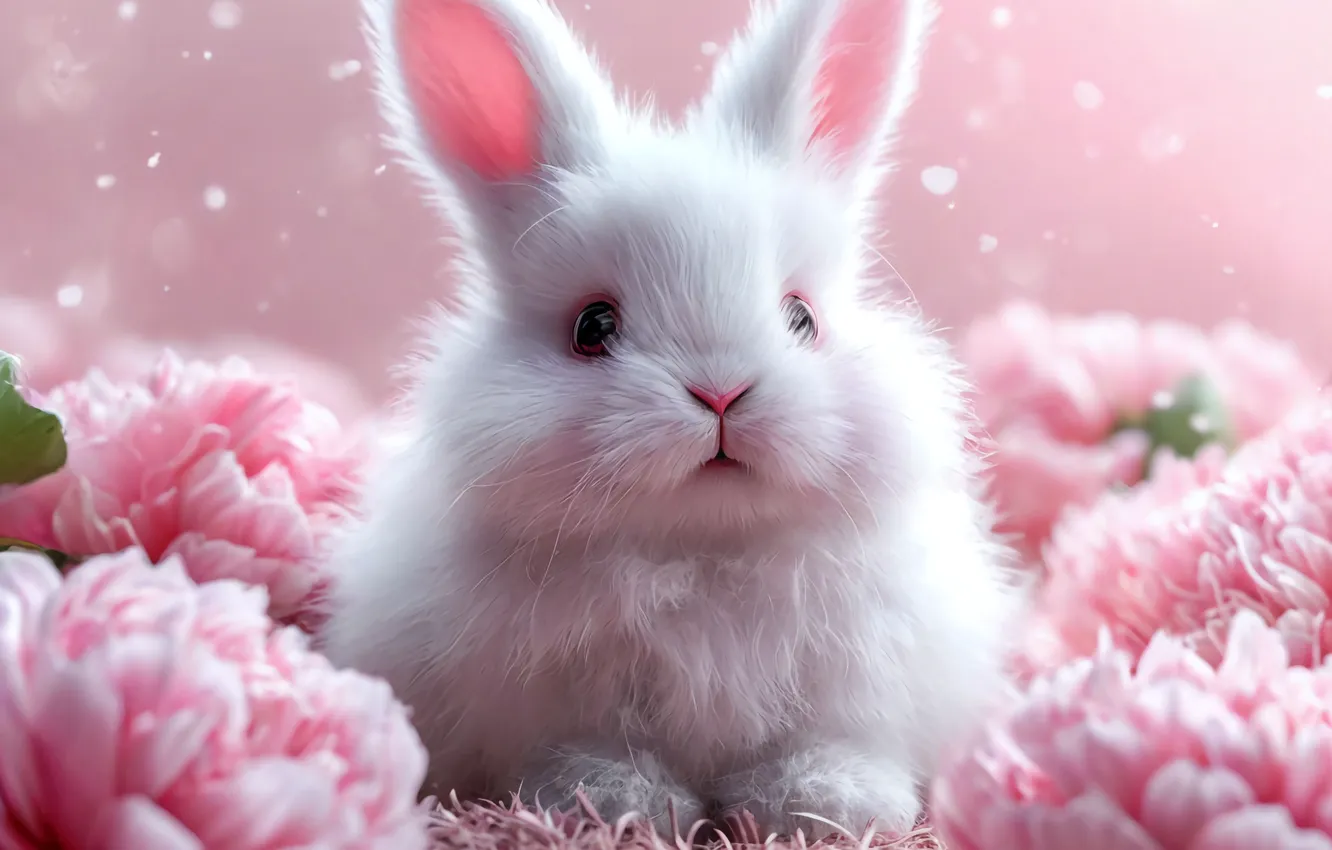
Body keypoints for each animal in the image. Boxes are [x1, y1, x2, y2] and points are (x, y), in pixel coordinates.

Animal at [319, 0, 1023, 839]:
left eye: (802, 319)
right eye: (593, 327)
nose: (721, 393)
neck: (705, 551)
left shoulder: (862, 678)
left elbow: (831, 742)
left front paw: (829, 803)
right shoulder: (558, 698)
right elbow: (594, 751)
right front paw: (615, 802)